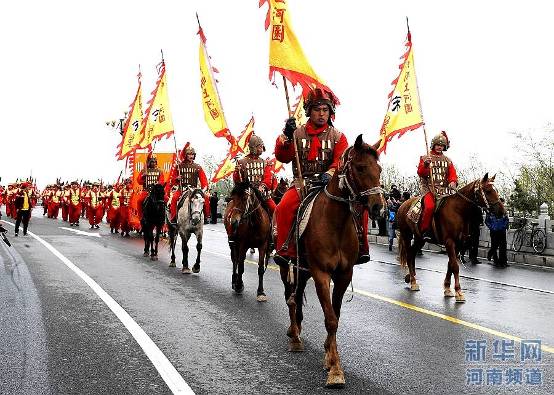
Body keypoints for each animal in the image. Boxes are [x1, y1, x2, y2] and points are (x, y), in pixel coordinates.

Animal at [278, 135, 382, 388]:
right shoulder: (321, 273)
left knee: (296, 296)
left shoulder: (343, 275)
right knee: (290, 298)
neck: (336, 223)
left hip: (303, 270)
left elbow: (336, 314)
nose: (378, 207)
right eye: (360, 167)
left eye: (380, 169)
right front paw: (335, 369)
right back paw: (294, 336)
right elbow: (330, 319)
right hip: (288, 266)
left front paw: (328, 355)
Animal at [394, 174, 502, 304]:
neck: (458, 210)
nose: (502, 211)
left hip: (420, 238)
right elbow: (455, 266)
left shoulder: (459, 244)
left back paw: (411, 278)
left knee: (411, 253)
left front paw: (447, 288)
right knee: (409, 254)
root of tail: (403, 205)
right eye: (488, 191)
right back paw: (413, 282)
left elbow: (450, 264)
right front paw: (459, 292)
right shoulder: (449, 242)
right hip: (406, 235)